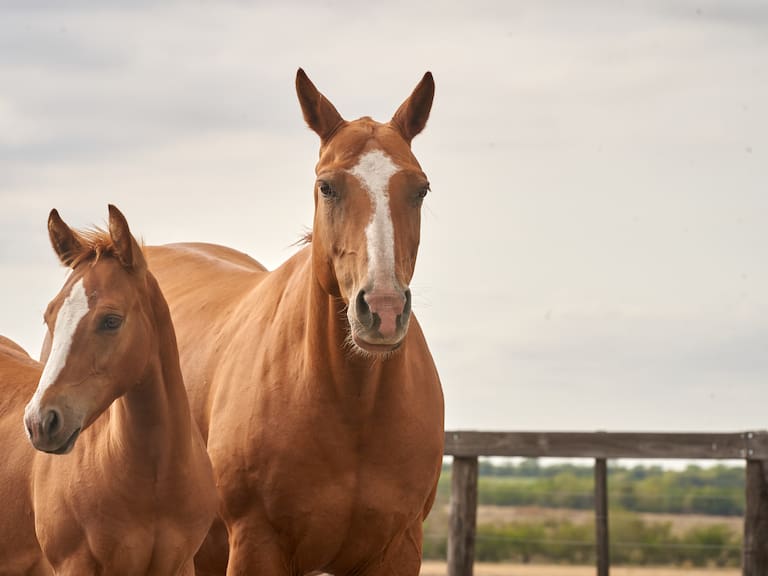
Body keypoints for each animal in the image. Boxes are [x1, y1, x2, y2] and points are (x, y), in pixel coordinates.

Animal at [145, 69, 445, 575]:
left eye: (420, 189)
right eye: (327, 186)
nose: (383, 310)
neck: (352, 407)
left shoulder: (398, 549)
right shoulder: (255, 546)